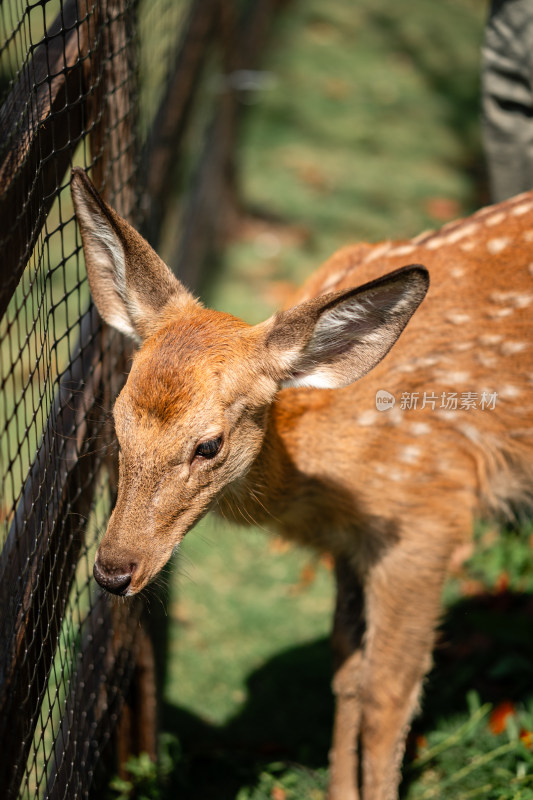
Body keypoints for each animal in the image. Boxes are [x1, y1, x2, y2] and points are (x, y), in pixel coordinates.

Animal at [70, 166, 532, 796]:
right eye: (115, 422)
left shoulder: (427, 516)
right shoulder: (349, 543)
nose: (114, 571)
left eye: (209, 445)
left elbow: (388, 698)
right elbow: (346, 674)